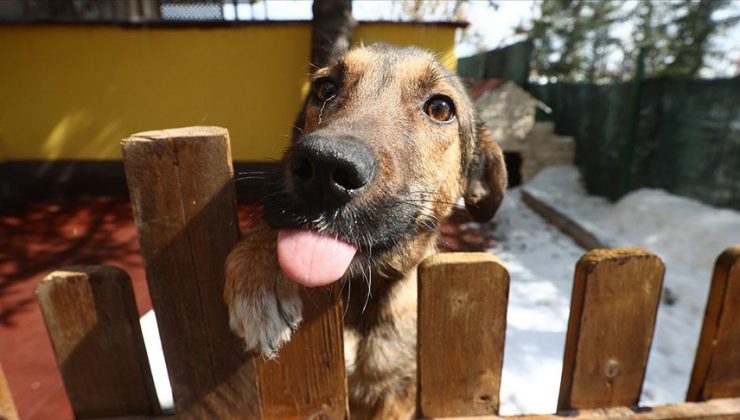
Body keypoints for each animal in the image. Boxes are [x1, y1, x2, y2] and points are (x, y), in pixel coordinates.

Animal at [223, 44, 506, 418]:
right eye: (324, 88)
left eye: (441, 108)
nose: (325, 167)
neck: (357, 297)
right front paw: (260, 273)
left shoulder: (399, 395)